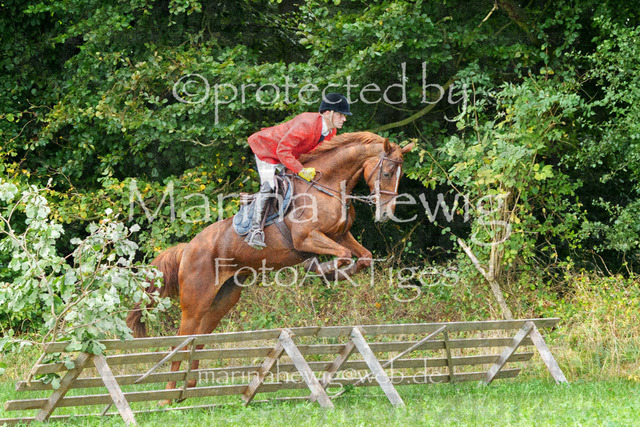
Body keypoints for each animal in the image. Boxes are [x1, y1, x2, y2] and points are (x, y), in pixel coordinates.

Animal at [126, 131, 415, 401]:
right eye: (387, 172)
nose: (386, 214)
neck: (328, 186)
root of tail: (188, 248)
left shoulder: (341, 235)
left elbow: (363, 256)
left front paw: (335, 273)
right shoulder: (307, 238)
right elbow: (342, 255)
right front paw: (322, 269)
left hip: (222, 299)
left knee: (200, 339)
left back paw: (188, 388)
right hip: (195, 300)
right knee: (182, 341)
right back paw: (168, 394)